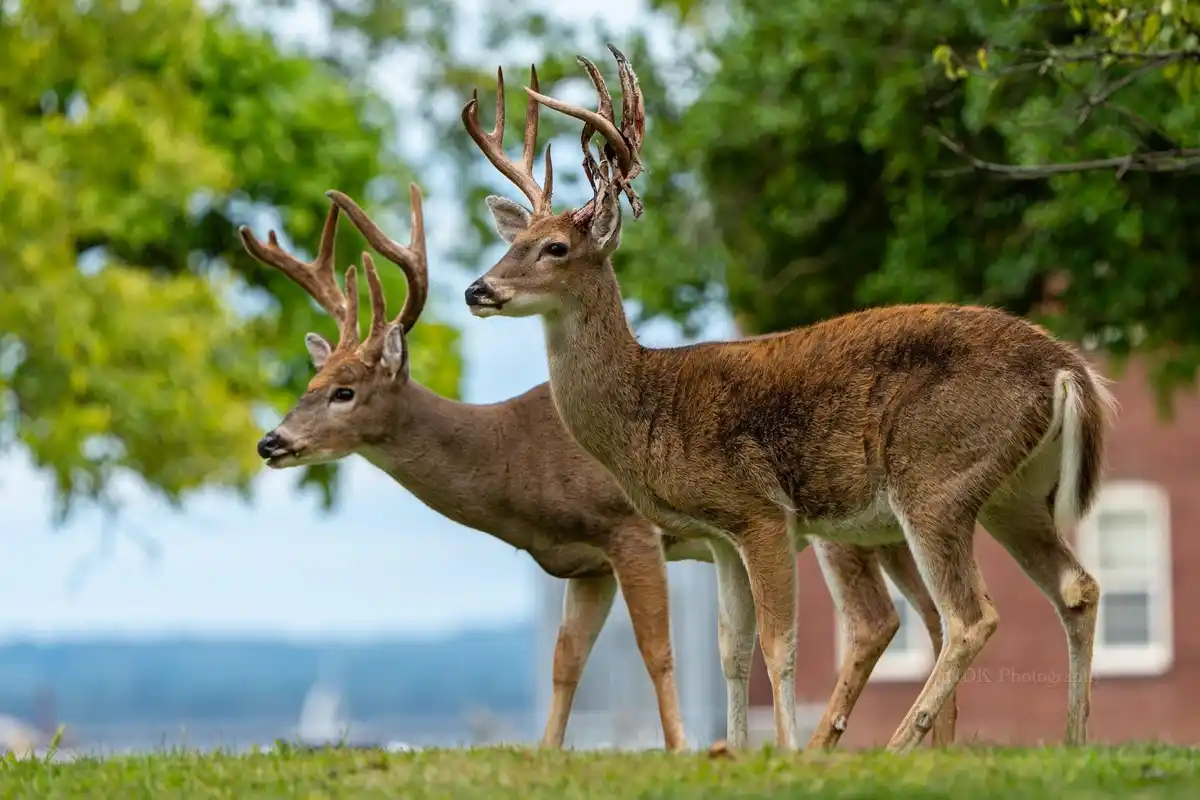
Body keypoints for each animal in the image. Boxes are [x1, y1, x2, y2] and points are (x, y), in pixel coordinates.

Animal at [241, 176, 951, 754]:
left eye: (344, 392)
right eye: (311, 381)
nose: (272, 441)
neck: (516, 462)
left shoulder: (628, 528)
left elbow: (655, 649)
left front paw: (680, 749)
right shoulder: (585, 563)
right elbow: (566, 661)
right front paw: (547, 754)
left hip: (839, 526)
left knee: (876, 620)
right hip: (889, 527)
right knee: (934, 615)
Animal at [459, 44, 1117, 753]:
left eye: (555, 247)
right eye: (510, 242)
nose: (478, 290)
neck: (649, 404)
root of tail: (1066, 368)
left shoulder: (759, 508)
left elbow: (780, 645)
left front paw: (786, 753)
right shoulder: (718, 534)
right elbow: (731, 649)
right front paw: (736, 753)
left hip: (936, 476)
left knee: (969, 616)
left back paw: (896, 747)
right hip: (1013, 492)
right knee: (1075, 586)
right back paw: (1073, 740)